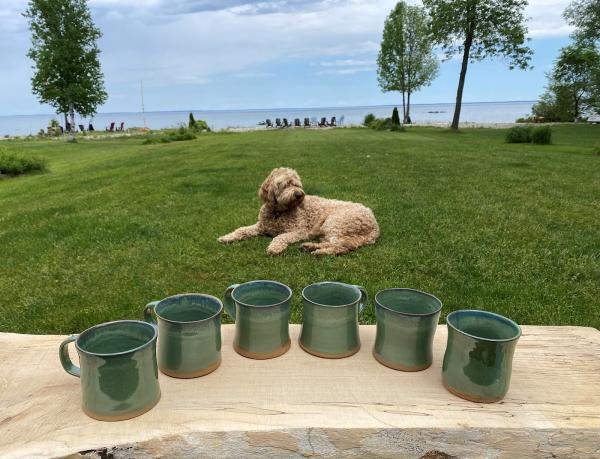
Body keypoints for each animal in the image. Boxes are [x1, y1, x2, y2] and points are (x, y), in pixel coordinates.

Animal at [218, 168, 380, 256]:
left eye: (297, 184)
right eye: (285, 185)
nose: (298, 194)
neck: (278, 212)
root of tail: (375, 226)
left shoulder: (300, 231)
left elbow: (280, 236)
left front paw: (274, 247)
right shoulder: (260, 226)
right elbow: (241, 230)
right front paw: (226, 237)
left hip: (335, 223)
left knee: (343, 246)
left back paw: (319, 252)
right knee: (337, 243)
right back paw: (311, 246)